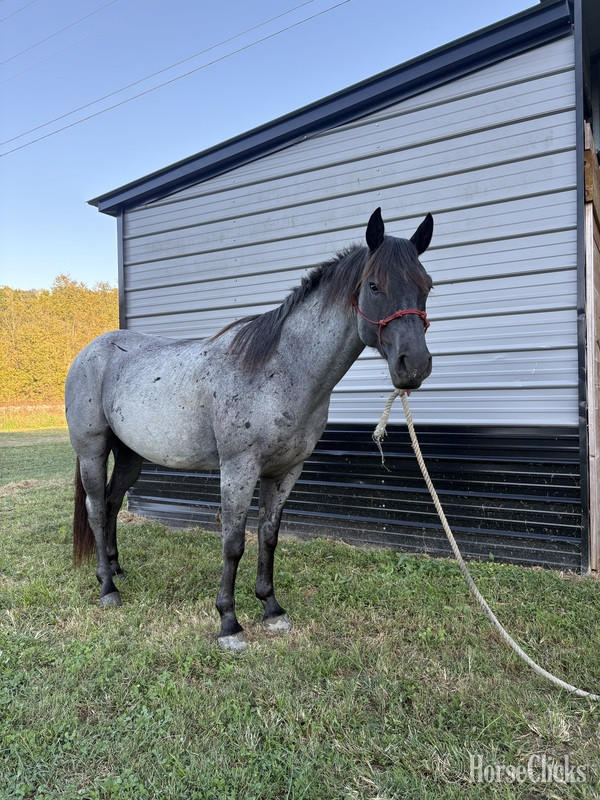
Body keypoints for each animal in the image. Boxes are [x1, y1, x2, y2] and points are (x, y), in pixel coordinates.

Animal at [66, 208, 434, 652]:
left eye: (427, 285)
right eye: (375, 286)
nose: (414, 366)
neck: (280, 370)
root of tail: (87, 353)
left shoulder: (286, 471)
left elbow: (268, 536)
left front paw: (271, 608)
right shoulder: (239, 470)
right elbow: (234, 543)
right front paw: (229, 622)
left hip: (131, 456)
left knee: (112, 503)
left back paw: (116, 570)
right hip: (92, 451)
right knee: (96, 509)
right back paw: (107, 587)